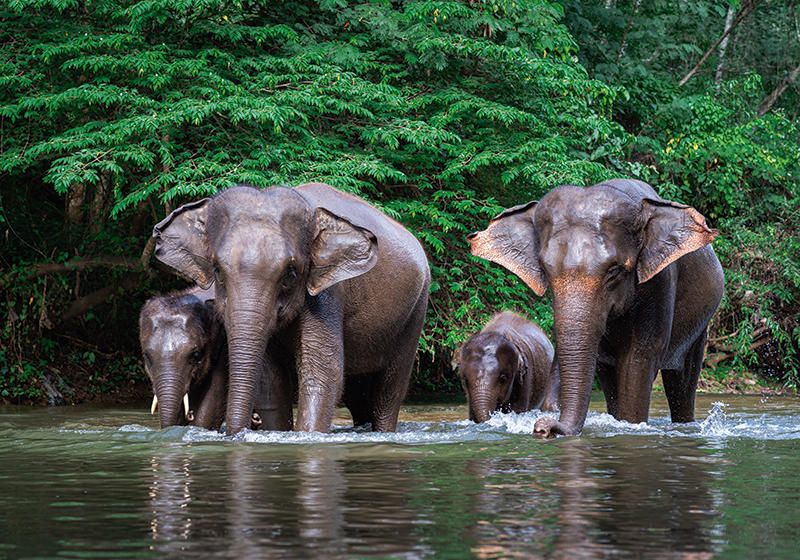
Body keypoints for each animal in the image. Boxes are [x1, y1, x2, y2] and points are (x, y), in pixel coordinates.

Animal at [155, 182, 432, 436]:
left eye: (291, 272)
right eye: (216, 269)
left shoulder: (326, 293)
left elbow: (323, 373)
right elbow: (270, 383)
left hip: (416, 311)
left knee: (389, 390)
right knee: (357, 393)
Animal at [468, 179, 724, 438]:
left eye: (614, 271)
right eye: (545, 270)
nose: (542, 428)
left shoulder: (659, 282)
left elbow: (640, 357)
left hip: (700, 326)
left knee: (682, 380)